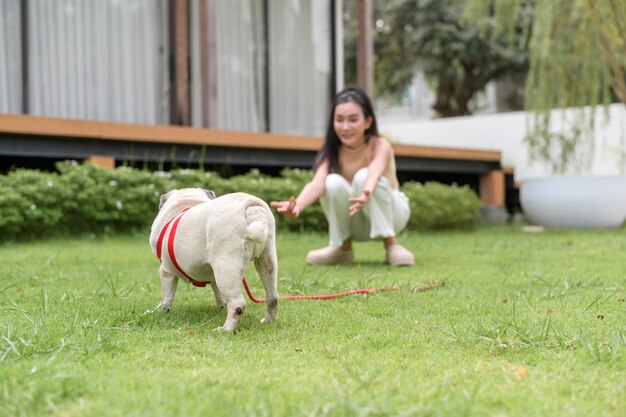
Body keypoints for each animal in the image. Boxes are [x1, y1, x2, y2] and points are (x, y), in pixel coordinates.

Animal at [147, 188, 276, 332]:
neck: (186, 201)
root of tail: (253, 210)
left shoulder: (166, 271)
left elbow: (166, 296)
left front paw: (161, 311)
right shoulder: (214, 277)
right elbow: (218, 293)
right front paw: (221, 306)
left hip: (225, 268)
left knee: (237, 305)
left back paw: (225, 330)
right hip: (267, 261)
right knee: (272, 297)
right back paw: (268, 321)